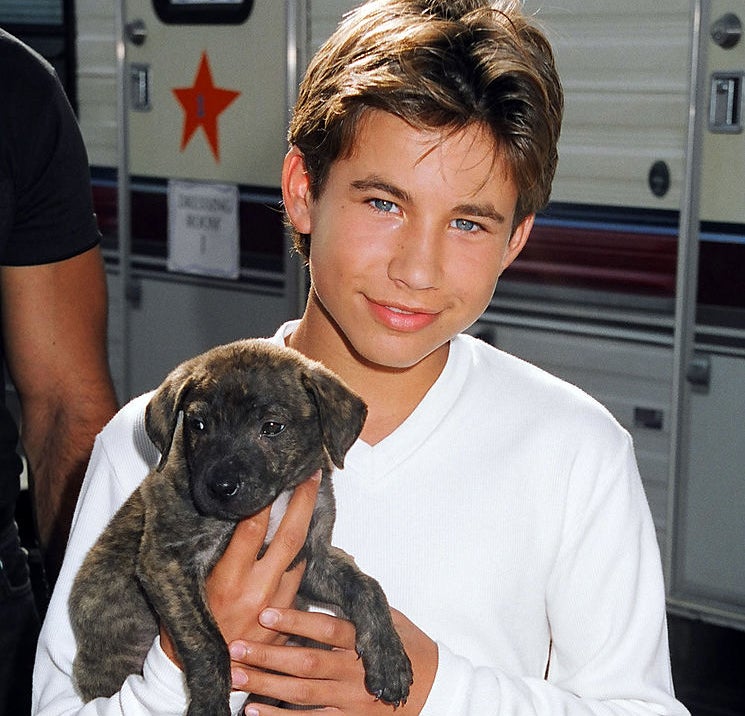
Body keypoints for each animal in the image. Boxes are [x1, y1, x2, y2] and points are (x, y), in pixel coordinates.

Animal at [70, 340, 412, 716]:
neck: (275, 500)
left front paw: (389, 658)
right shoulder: (167, 561)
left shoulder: (310, 559)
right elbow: (209, 641)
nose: (220, 487)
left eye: (272, 427)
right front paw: (210, 704)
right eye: (198, 424)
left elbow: (367, 586)